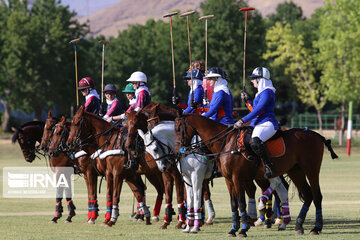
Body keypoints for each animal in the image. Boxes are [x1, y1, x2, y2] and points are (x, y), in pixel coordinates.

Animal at [174, 112, 338, 236]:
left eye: (178, 129)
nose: (178, 152)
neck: (226, 143)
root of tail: (317, 135)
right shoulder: (229, 180)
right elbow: (233, 204)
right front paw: (233, 230)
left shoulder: (236, 178)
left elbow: (241, 202)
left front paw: (243, 230)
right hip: (295, 171)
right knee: (307, 195)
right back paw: (297, 225)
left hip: (311, 170)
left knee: (316, 196)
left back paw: (316, 228)